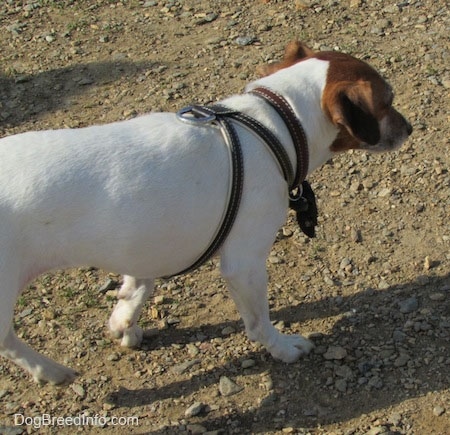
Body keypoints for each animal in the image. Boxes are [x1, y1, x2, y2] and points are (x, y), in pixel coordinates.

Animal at [0, 42, 412, 384]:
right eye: (388, 101)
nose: (410, 127)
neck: (274, 123)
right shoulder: (244, 263)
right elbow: (259, 323)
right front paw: (283, 348)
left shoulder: (142, 244)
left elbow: (137, 287)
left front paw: (123, 321)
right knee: (7, 340)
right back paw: (48, 370)